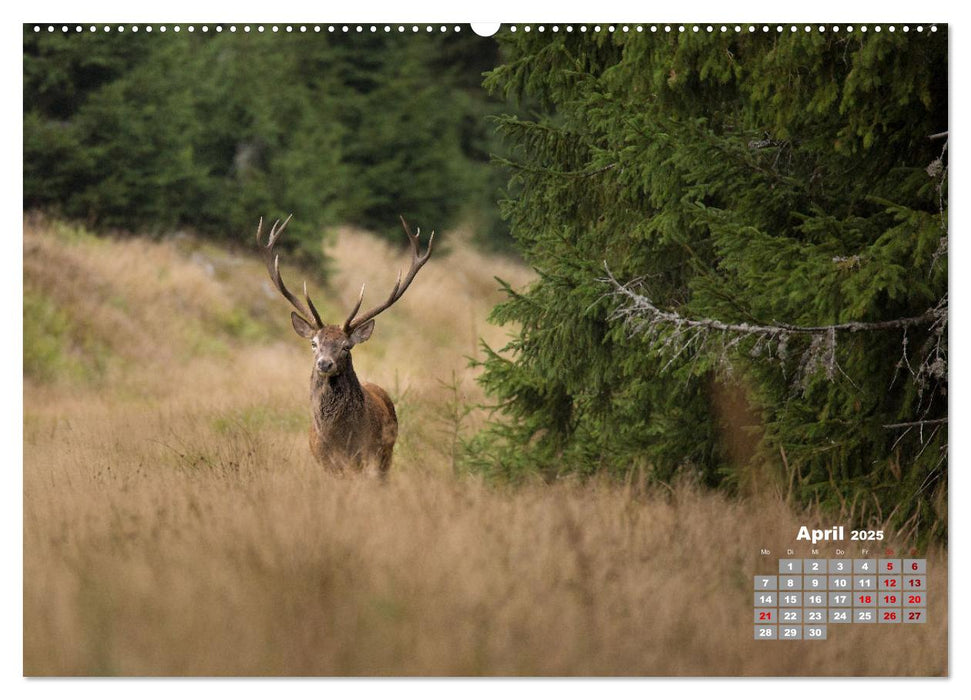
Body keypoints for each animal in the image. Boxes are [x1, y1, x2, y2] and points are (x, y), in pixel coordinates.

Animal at [262, 215, 436, 476]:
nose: (325, 363)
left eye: (346, 346)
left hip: (386, 456)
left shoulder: (365, 458)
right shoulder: (324, 462)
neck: (338, 439)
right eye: (314, 343)